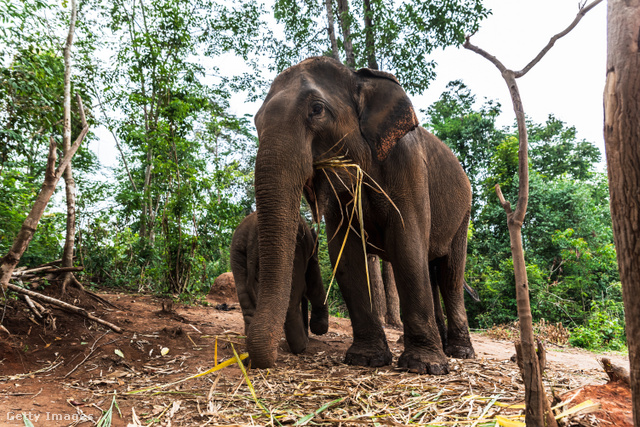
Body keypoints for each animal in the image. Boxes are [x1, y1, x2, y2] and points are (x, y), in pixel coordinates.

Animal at [250, 56, 476, 374]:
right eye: (256, 122)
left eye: (316, 110)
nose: (262, 363)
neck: (359, 78)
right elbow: (346, 255)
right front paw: (365, 359)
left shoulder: (408, 166)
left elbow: (407, 245)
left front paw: (425, 367)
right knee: (432, 272)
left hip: (463, 214)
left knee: (450, 275)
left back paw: (460, 352)